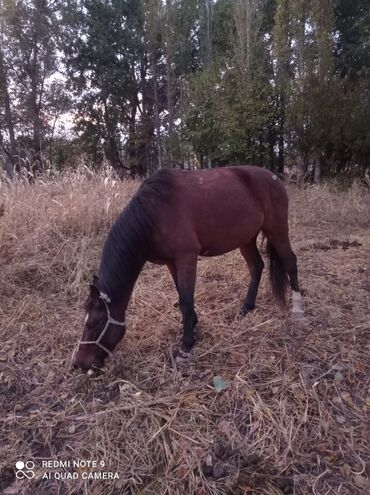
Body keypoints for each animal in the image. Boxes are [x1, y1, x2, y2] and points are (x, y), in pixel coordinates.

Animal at [73, 166, 304, 372]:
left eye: (95, 323)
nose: (80, 363)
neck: (154, 214)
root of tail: (274, 177)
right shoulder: (171, 261)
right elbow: (181, 294)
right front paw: (192, 325)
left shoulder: (187, 257)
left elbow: (185, 299)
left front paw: (185, 346)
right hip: (246, 238)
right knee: (256, 266)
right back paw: (246, 307)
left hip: (276, 229)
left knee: (290, 262)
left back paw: (297, 310)